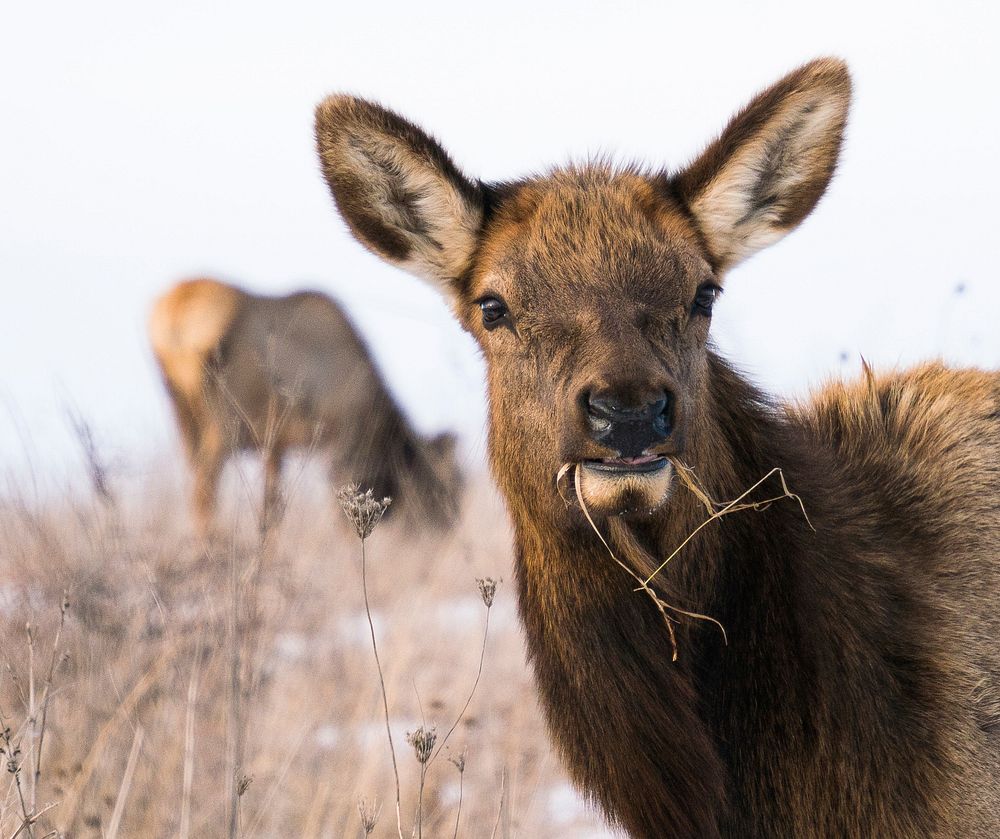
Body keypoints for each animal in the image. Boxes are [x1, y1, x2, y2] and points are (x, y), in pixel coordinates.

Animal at [148, 278, 460, 536]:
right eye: (444, 485)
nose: (448, 526)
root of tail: (176, 315)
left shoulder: (275, 446)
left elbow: (271, 509)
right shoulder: (342, 442)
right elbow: (343, 512)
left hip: (182, 412)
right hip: (225, 419)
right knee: (205, 485)